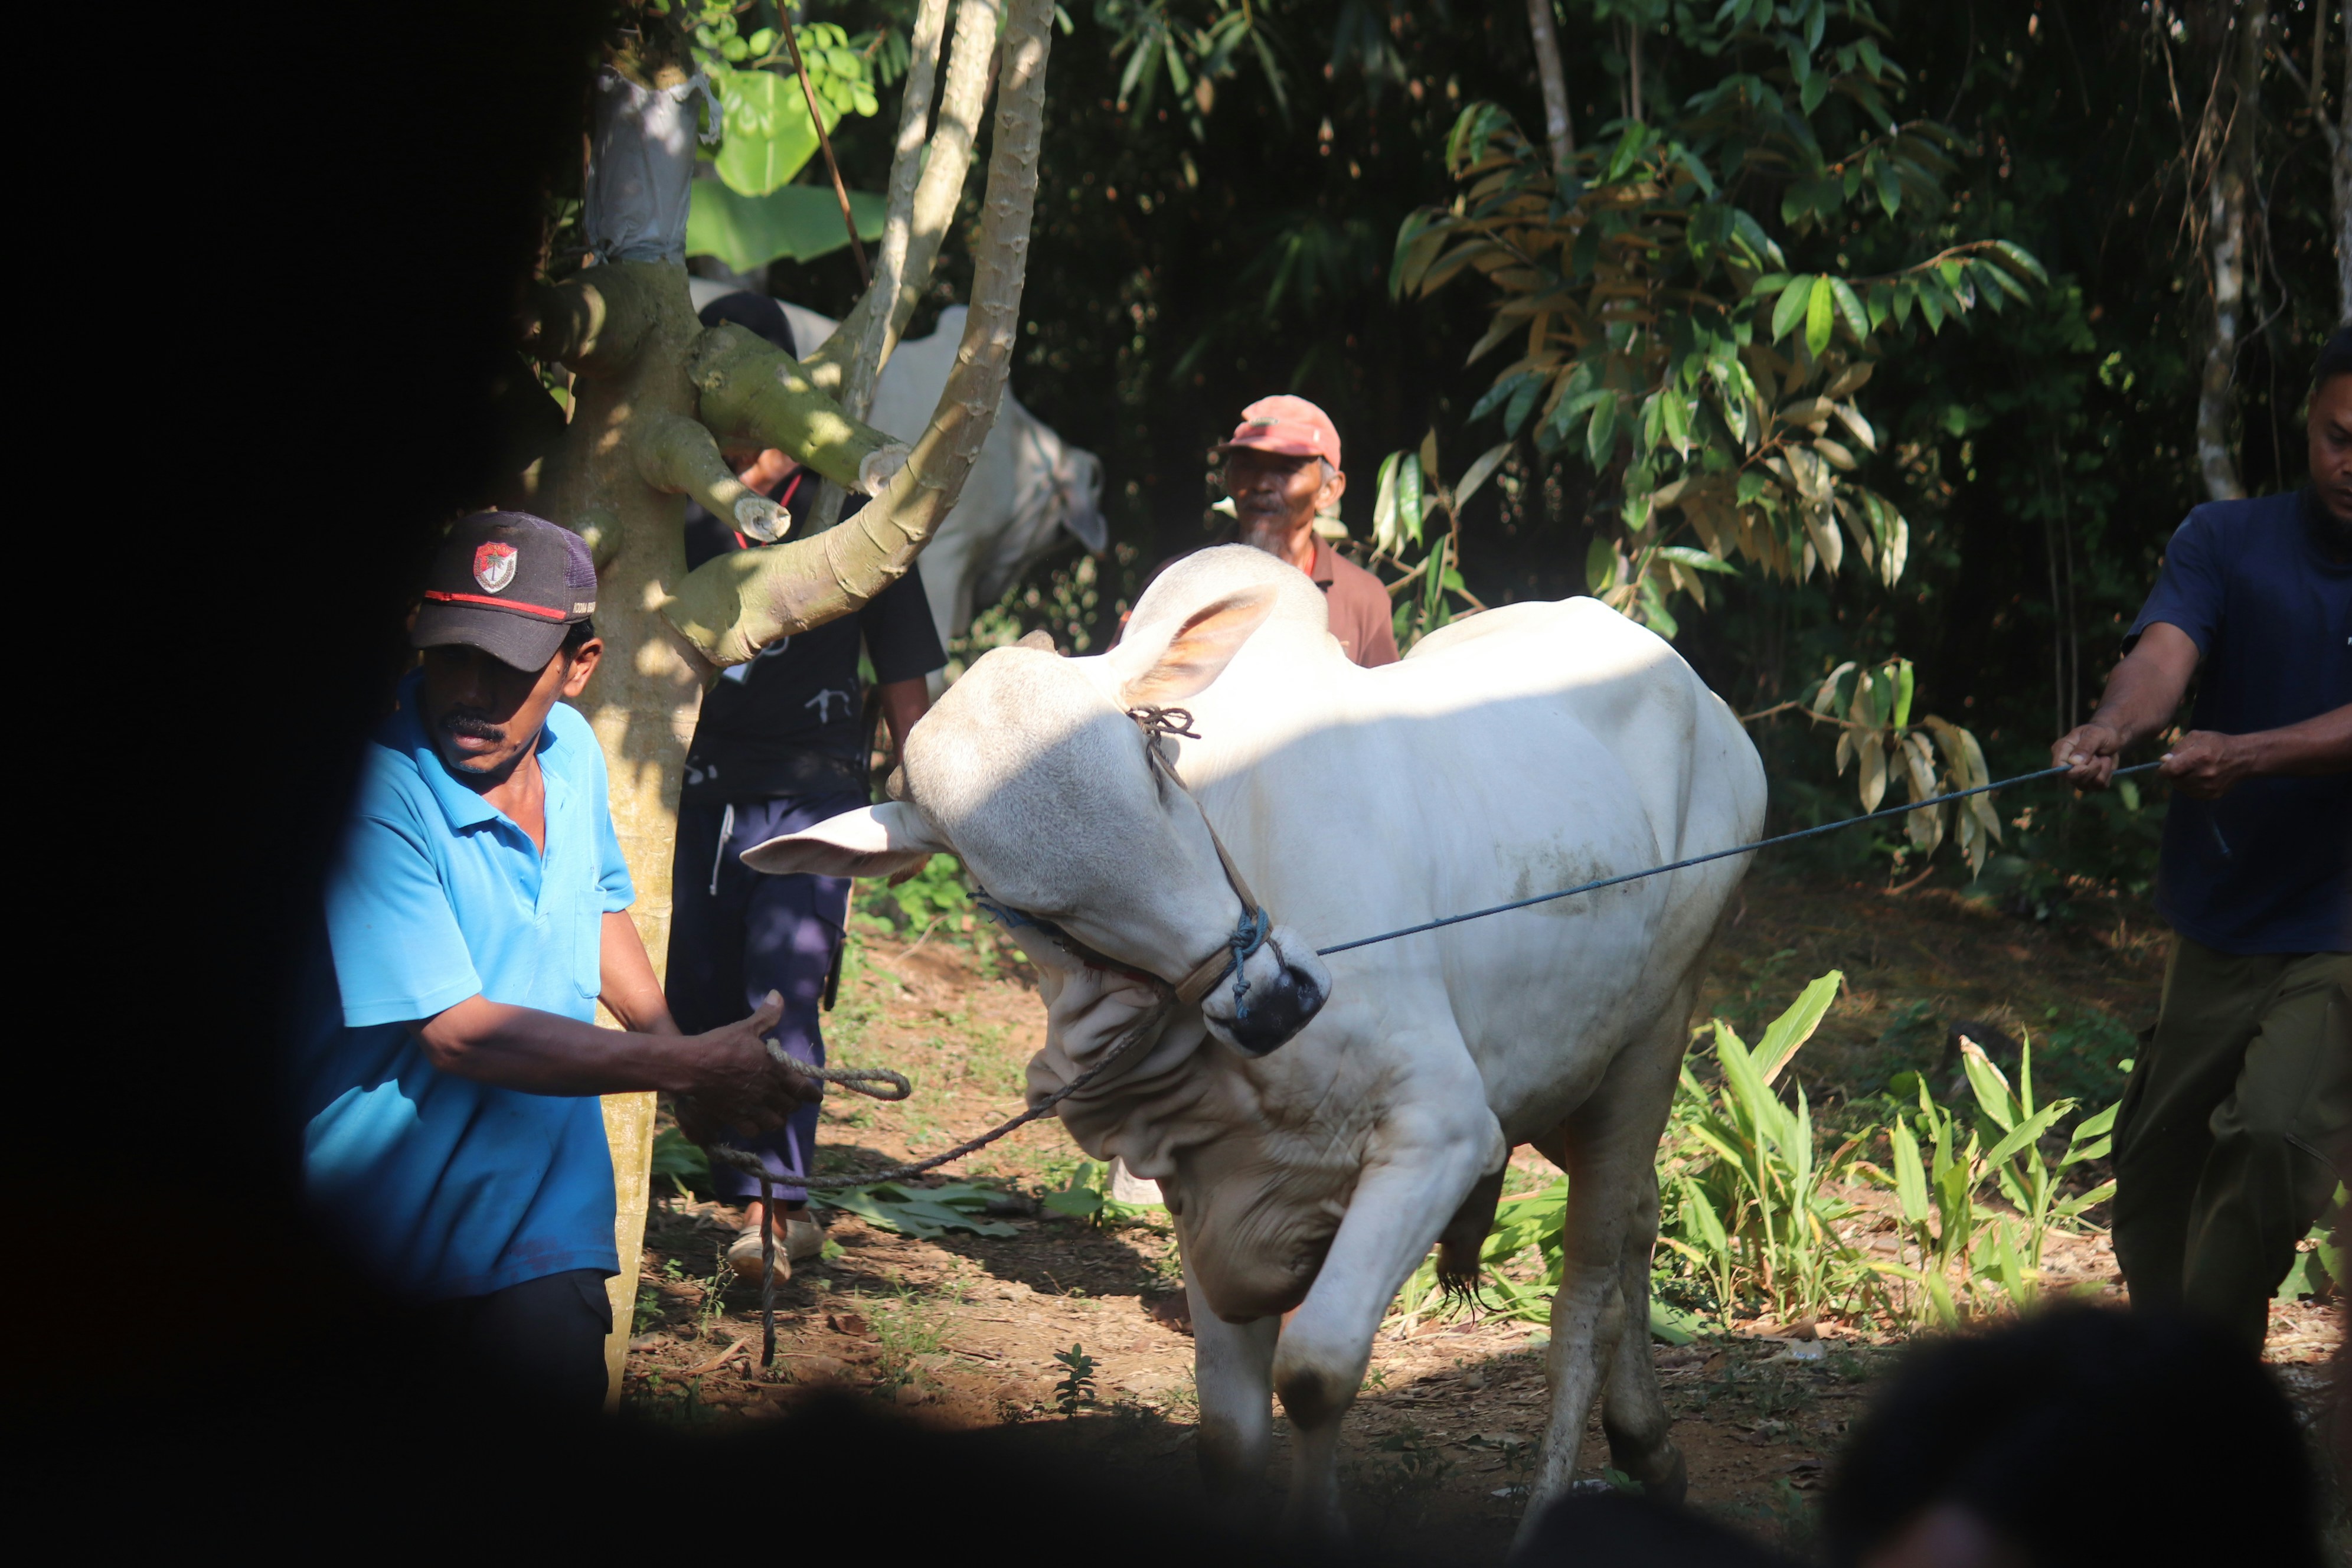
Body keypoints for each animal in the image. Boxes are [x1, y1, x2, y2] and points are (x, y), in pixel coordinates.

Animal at [739, 544, 1766, 1538]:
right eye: (1024, 906)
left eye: (1155, 763)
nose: (1273, 1001)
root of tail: (1691, 687)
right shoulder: (1206, 1188)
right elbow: (1229, 1438)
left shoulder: (1442, 1135)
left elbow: (1315, 1374)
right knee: (1640, 1216)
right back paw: (1648, 1446)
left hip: (1653, 1035)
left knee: (1588, 1294)